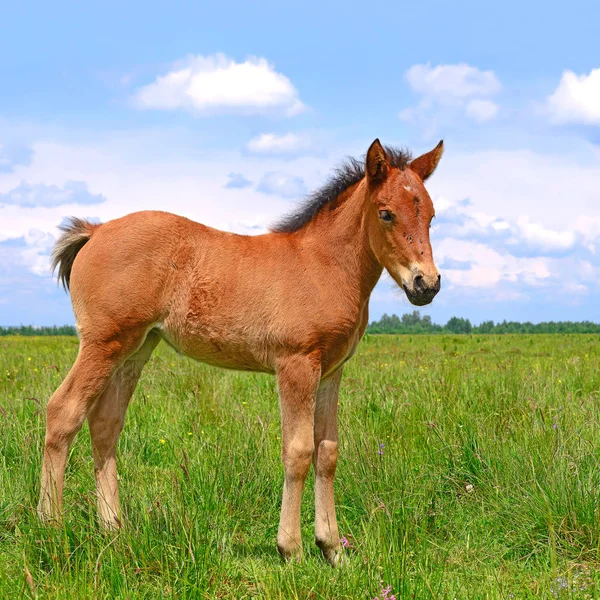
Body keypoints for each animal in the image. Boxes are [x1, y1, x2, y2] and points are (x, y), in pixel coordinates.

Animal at [36, 138, 440, 564]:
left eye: (431, 216)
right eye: (386, 213)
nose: (426, 284)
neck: (323, 265)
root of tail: (95, 231)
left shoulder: (331, 370)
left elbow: (327, 452)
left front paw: (333, 550)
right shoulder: (296, 364)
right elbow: (298, 450)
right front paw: (292, 549)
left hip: (134, 349)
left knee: (105, 423)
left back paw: (114, 529)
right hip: (103, 343)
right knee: (63, 411)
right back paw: (51, 528)